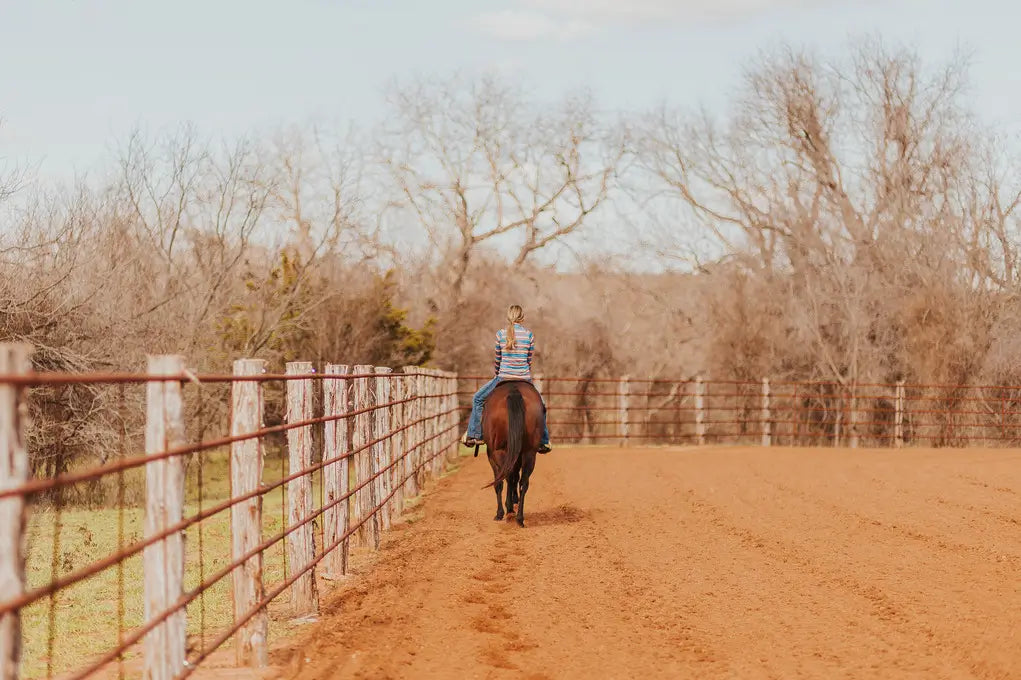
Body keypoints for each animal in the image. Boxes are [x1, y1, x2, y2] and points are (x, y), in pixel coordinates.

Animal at [481, 377, 547, 526]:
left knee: (506, 477)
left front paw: (500, 512)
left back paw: (509, 511)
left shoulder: (491, 455)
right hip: (529, 453)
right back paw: (519, 518)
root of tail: (514, 391)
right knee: (523, 482)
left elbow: (500, 482)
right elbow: (516, 478)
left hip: (499, 451)